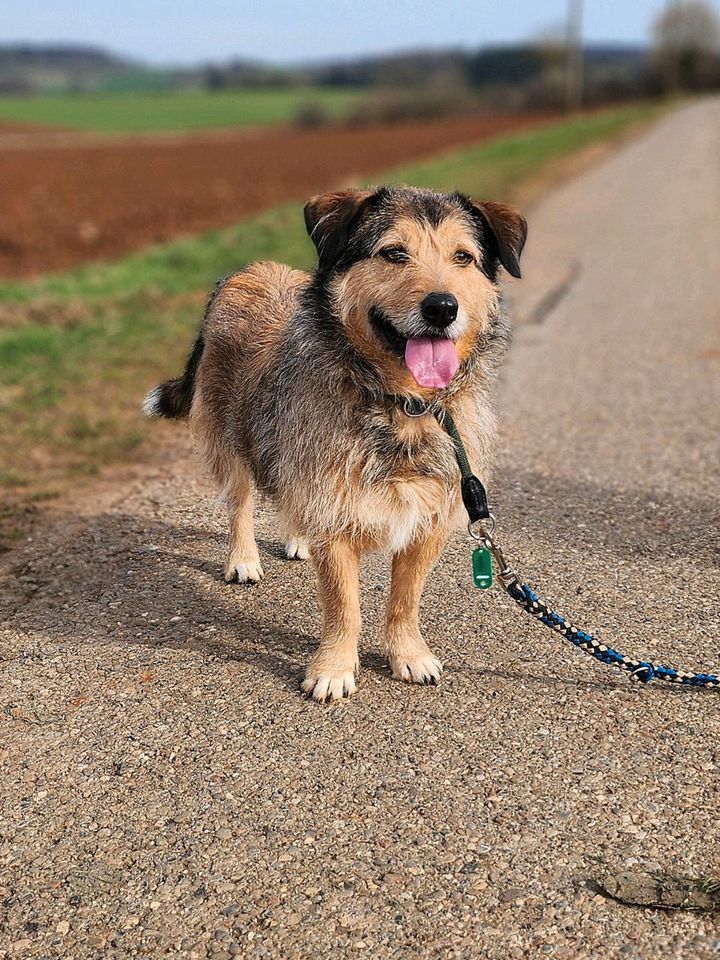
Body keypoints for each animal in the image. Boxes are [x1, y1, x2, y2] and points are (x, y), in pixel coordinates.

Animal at [145, 186, 528, 696]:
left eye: (463, 257)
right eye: (393, 252)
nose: (442, 308)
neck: (402, 405)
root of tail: (241, 272)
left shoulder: (430, 520)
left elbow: (406, 599)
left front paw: (409, 655)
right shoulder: (336, 518)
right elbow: (343, 604)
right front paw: (334, 669)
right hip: (230, 438)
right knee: (241, 503)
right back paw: (243, 559)